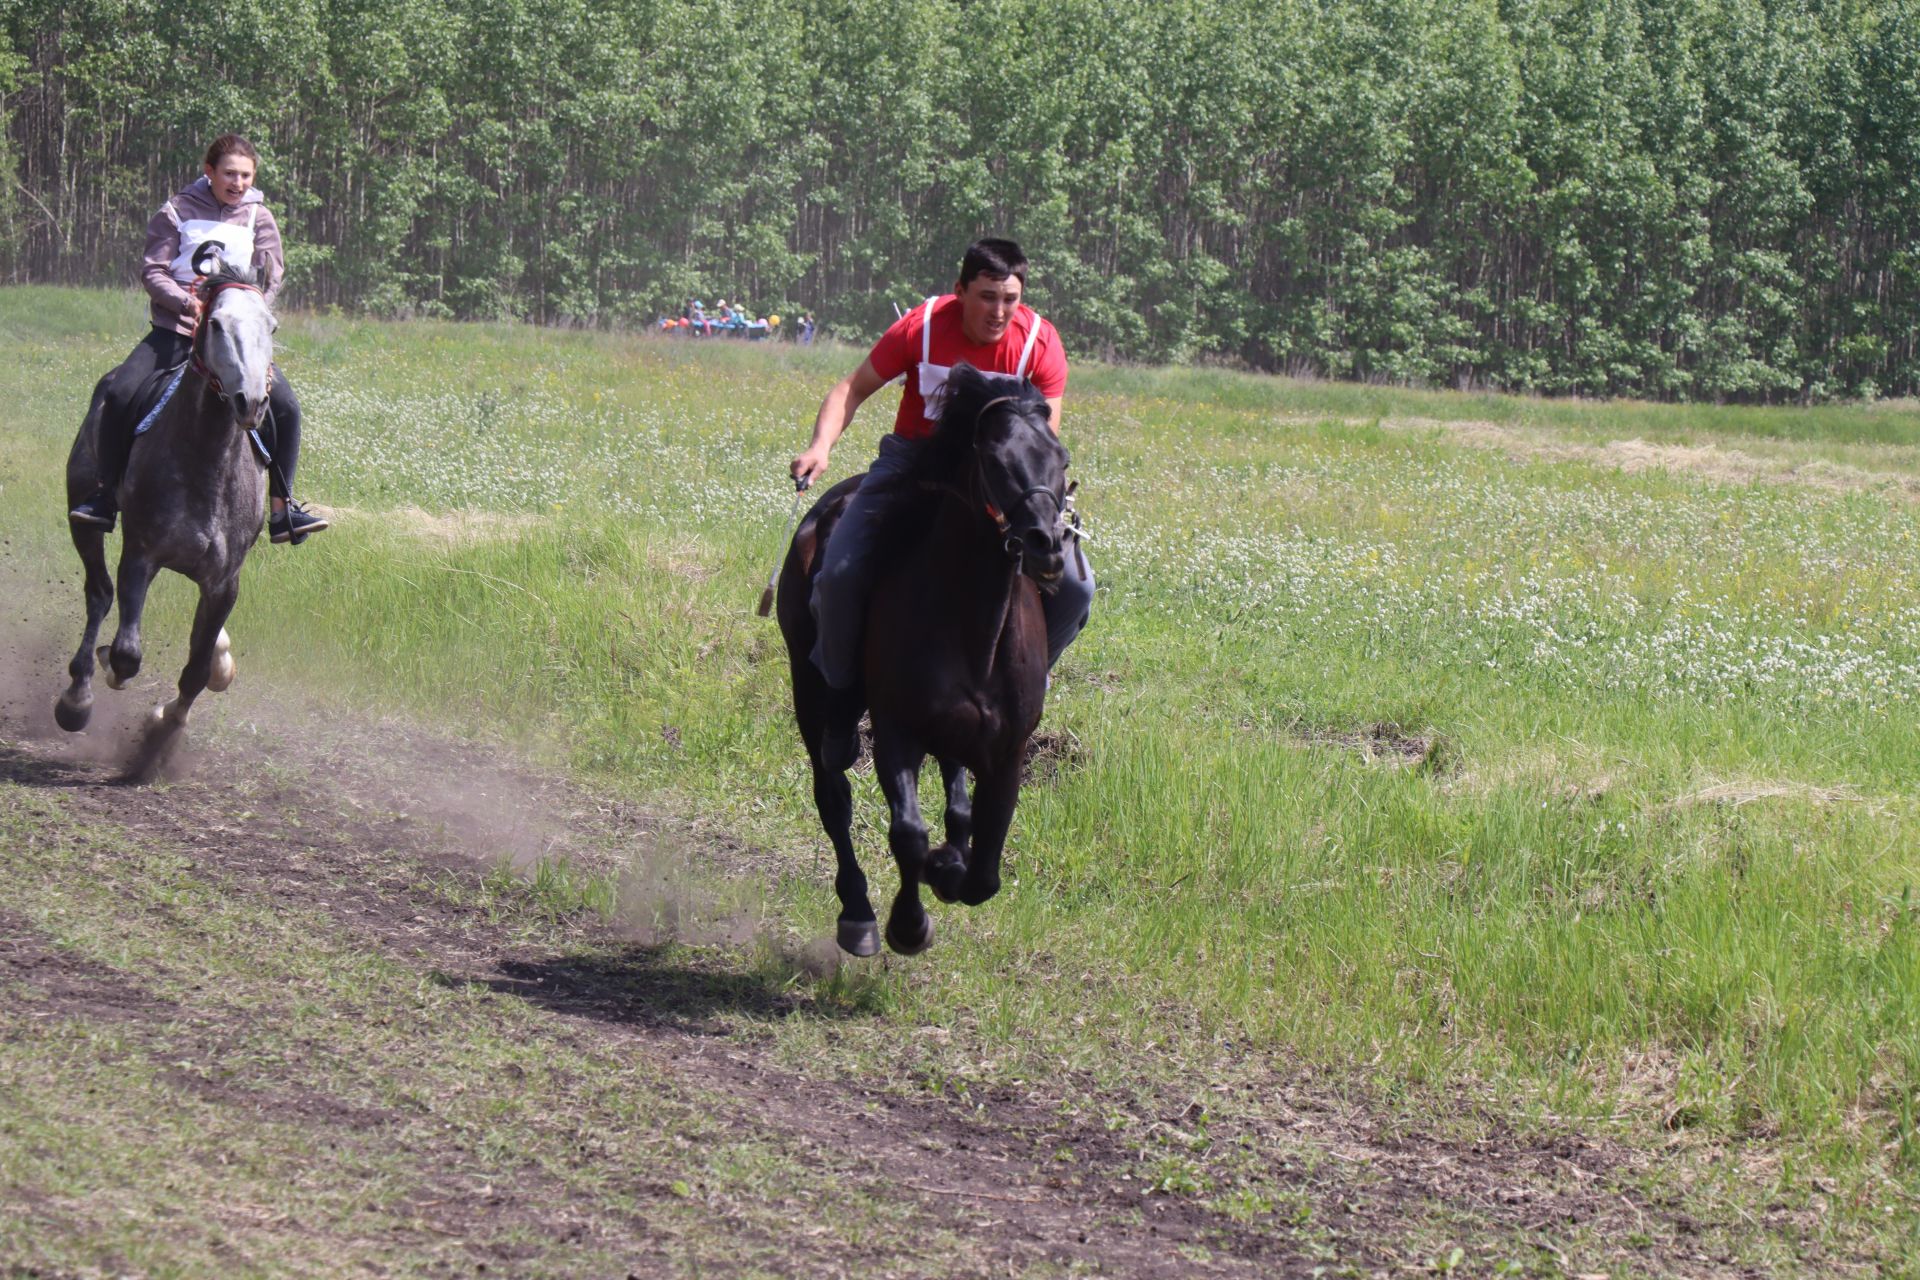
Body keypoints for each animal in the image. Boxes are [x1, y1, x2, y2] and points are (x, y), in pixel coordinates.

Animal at [54, 249, 278, 771]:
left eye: (272, 326)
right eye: (214, 323)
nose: (252, 402)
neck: (206, 463)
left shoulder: (224, 582)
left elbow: (196, 669)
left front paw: (163, 730)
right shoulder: (141, 556)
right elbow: (126, 653)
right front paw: (109, 675)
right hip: (85, 522)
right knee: (99, 594)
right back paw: (77, 698)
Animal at [783, 364, 1082, 955]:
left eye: (1060, 458)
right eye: (994, 459)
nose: (1047, 545)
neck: (974, 625)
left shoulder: (1008, 750)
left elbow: (984, 867)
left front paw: (949, 868)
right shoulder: (898, 731)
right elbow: (908, 834)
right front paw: (907, 923)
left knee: (954, 797)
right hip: (810, 691)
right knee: (832, 793)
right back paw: (857, 912)